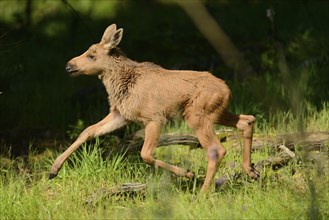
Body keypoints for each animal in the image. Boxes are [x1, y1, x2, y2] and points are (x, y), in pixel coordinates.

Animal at [49, 24, 258, 192]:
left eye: (92, 55)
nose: (69, 66)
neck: (121, 85)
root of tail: (228, 90)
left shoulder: (154, 117)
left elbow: (146, 154)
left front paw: (188, 173)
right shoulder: (120, 114)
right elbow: (88, 131)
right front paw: (54, 169)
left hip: (197, 115)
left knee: (216, 150)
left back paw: (202, 193)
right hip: (215, 112)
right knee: (247, 120)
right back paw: (250, 170)